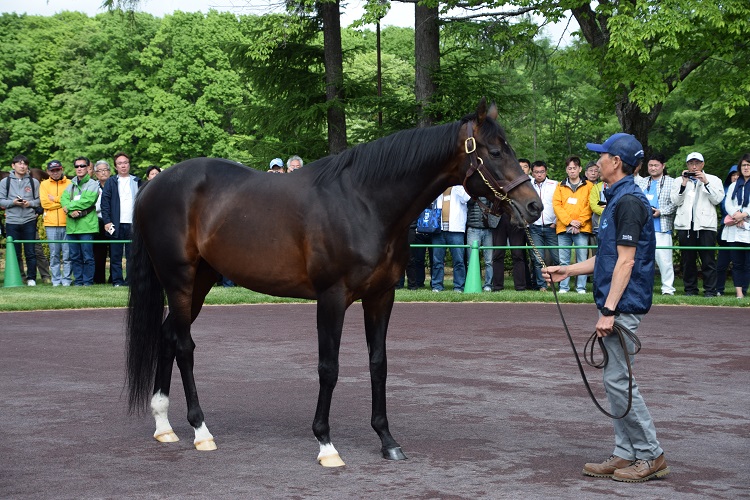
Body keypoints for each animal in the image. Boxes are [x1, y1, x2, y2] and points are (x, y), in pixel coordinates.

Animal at [128, 99, 540, 466]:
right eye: (494, 151)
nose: (533, 205)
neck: (363, 202)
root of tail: (152, 186)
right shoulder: (332, 297)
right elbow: (329, 367)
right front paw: (326, 444)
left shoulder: (380, 297)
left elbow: (378, 363)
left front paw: (387, 439)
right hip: (179, 280)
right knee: (184, 345)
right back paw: (201, 430)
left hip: (201, 281)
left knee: (167, 336)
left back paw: (164, 425)